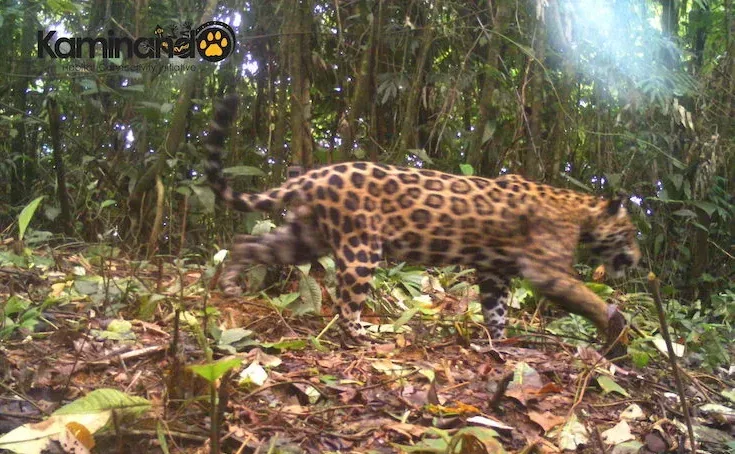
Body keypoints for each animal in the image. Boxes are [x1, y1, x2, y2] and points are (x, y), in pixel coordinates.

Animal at [203, 94, 641, 358]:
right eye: (632, 233)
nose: (636, 258)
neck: (581, 211)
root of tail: (313, 175)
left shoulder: (495, 271)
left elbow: (496, 309)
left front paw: (499, 342)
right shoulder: (545, 271)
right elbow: (585, 297)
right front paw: (614, 323)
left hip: (305, 236)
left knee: (249, 242)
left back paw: (230, 284)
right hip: (360, 247)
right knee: (346, 302)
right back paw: (362, 338)